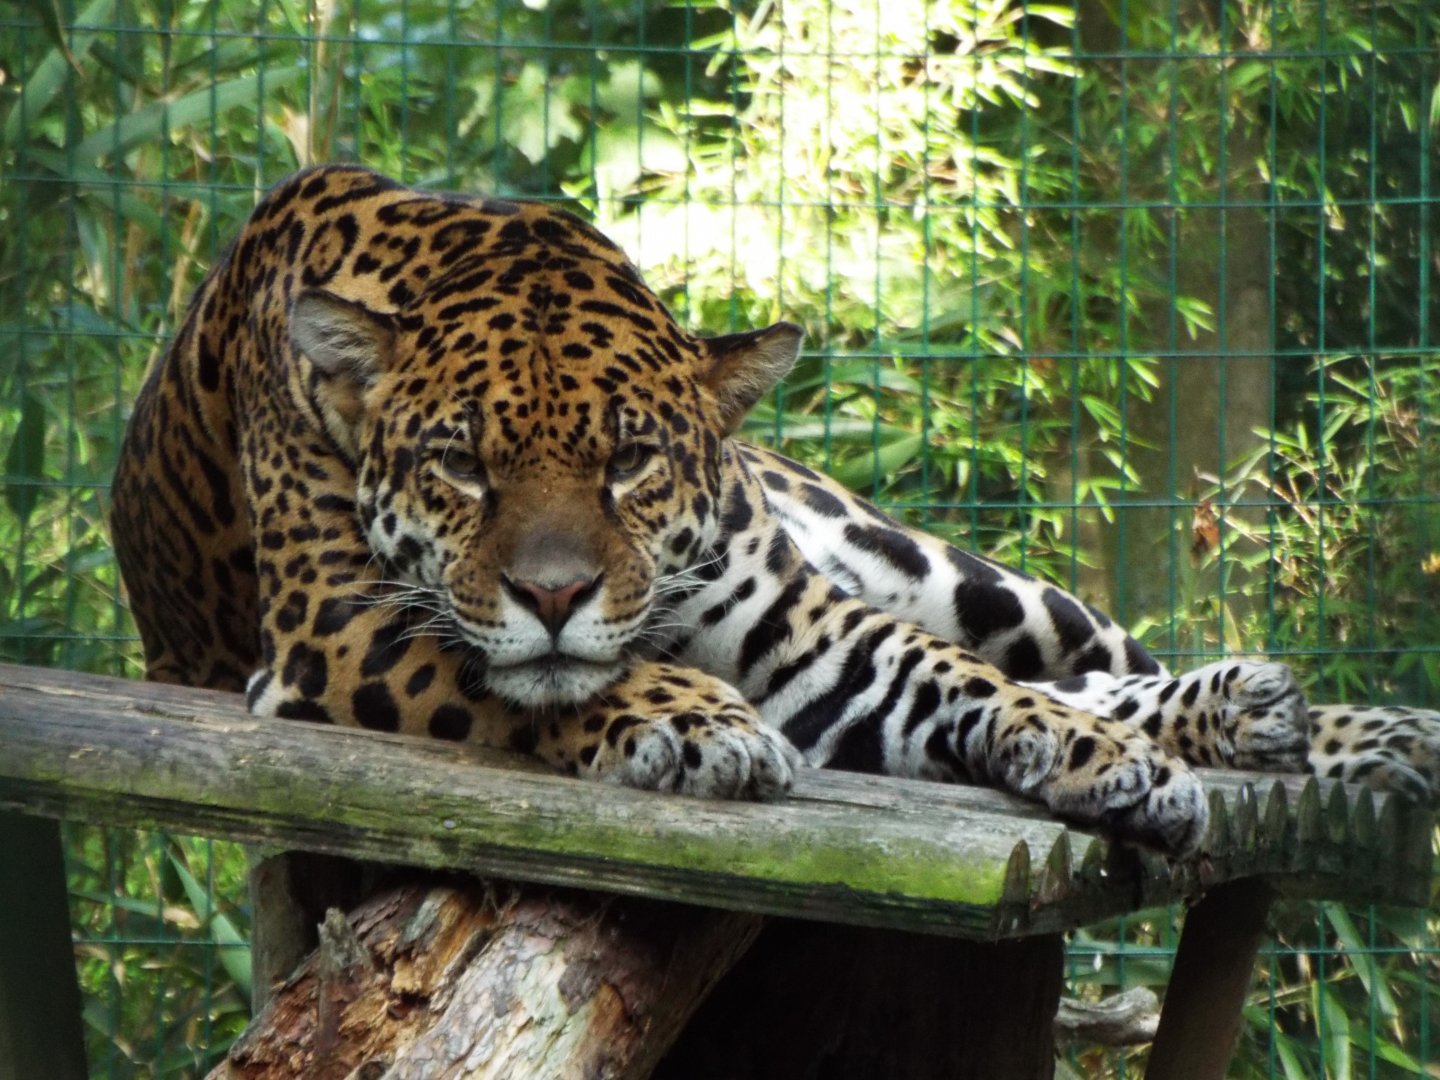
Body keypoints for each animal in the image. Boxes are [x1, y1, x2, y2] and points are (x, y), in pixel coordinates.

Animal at [110, 163, 1212, 856]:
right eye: (460, 464)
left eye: (631, 460)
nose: (555, 596)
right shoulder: (336, 625)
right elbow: (547, 680)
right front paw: (699, 721)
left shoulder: (804, 629)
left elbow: (952, 672)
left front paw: (1116, 759)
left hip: (955, 575)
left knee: (1089, 657)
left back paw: (1240, 711)